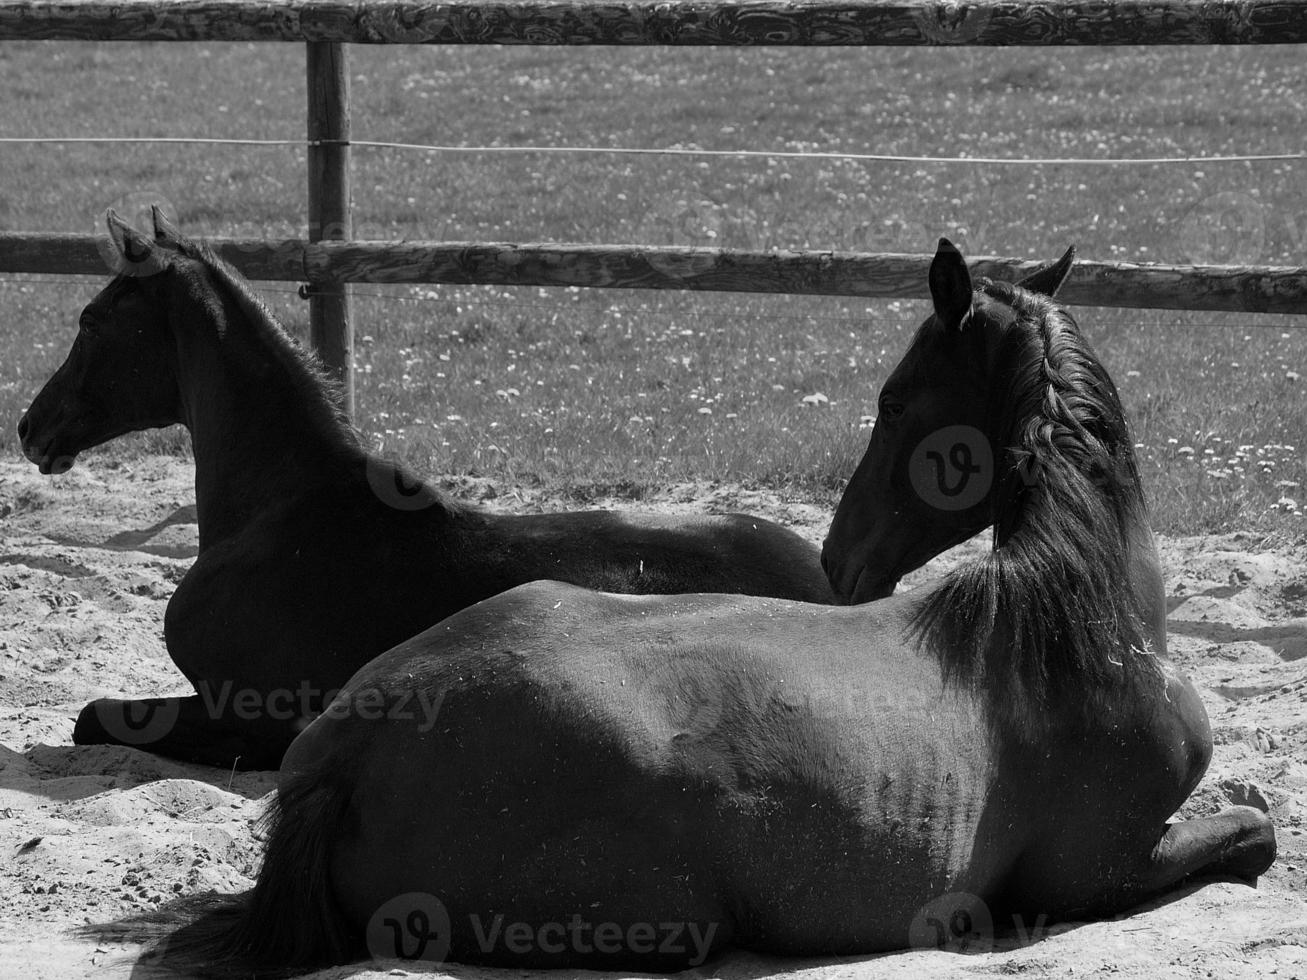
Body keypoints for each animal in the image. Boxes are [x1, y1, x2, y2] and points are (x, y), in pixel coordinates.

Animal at [135, 241, 1275, 977]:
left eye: (896, 399)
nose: (841, 555)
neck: (1068, 620)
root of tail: (349, 751)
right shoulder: (1092, 871)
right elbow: (1255, 830)